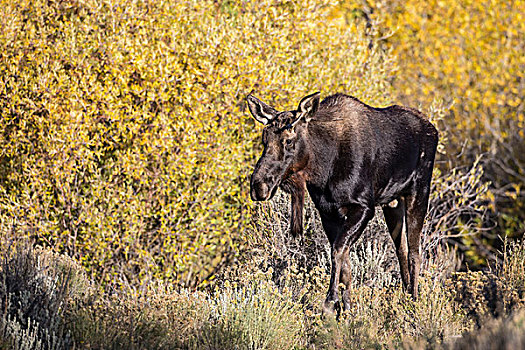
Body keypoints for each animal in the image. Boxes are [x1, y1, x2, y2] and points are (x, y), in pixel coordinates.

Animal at [246, 91, 438, 314]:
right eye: (264, 140)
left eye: (289, 141)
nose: (258, 186)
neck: (323, 167)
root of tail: (433, 129)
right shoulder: (327, 212)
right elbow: (344, 262)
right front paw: (346, 308)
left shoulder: (364, 207)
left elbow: (337, 251)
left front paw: (331, 302)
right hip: (392, 203)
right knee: (402, 250)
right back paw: (406, 297)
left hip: (419, 190)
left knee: (415, 253)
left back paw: (414, 302)